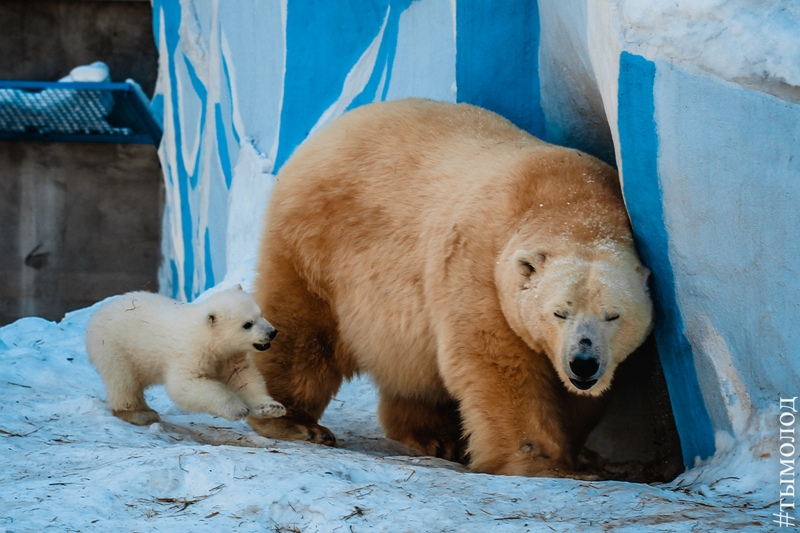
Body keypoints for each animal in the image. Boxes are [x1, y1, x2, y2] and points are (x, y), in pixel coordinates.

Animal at [252, 97, 656, 476]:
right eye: (559, 312)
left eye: (613, 316)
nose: (583, 363)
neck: (568, 201)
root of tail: (324, 133)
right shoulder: (480, 265)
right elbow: (496, 364)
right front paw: (538, 460)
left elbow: (573, 396)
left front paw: (574, 453)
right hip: (316, 246)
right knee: (302, 332)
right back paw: (295, 422)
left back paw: (436, 437)